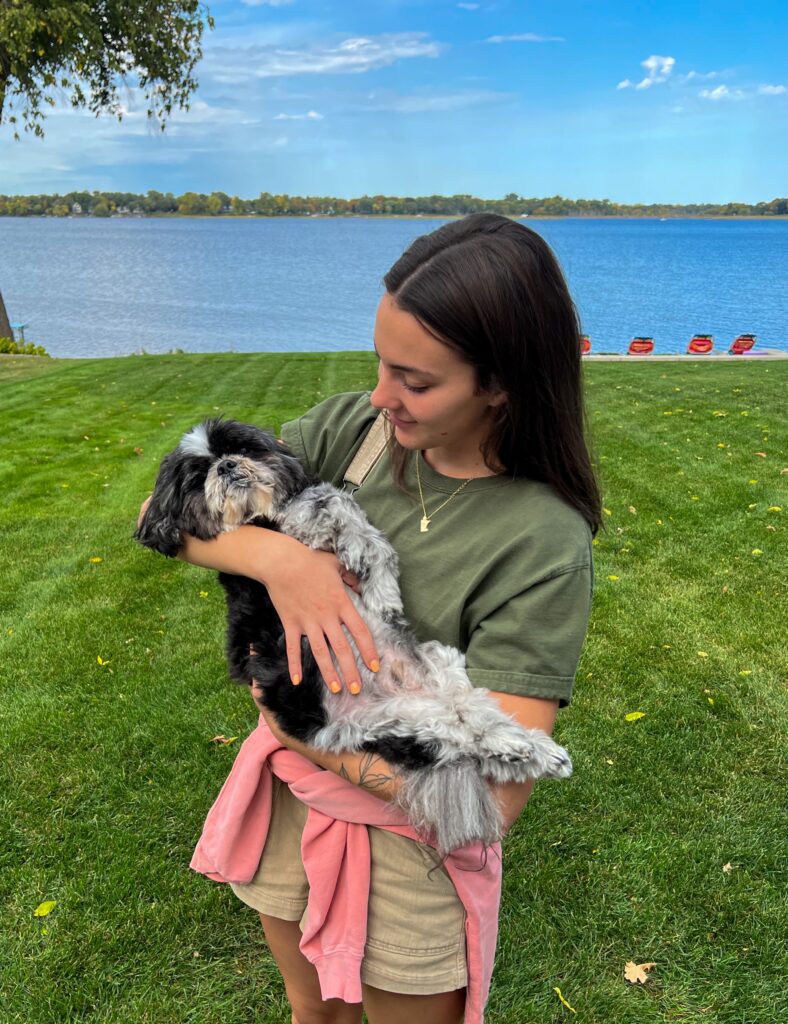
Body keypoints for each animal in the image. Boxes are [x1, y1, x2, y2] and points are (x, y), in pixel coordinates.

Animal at [137, 419, 573, 851]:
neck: (264, 517)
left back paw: (534, 751)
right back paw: (518, 750)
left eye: (243, 448)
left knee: (472, 716)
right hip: (385, 724)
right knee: (457, 733)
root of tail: (409, 692)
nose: (226, 466)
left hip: (441, 666)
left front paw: (375, 576)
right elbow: (325, 505)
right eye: (197, 479)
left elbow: (339, 505)